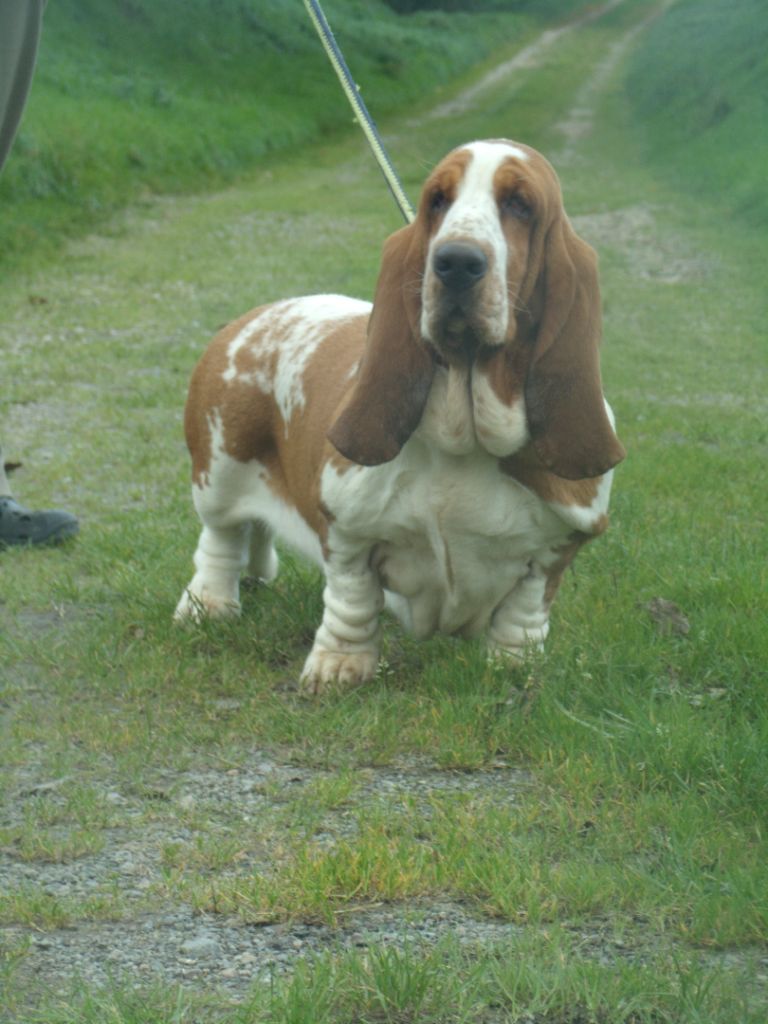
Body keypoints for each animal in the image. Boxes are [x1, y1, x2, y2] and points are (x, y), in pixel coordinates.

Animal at [177, 138, 626, 696]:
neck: (466, 439)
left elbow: (523, 617)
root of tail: (250, 317)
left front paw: (511, 670)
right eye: (437, 200)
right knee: (221, 538)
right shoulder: (348, 532)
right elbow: (352, 601)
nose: (456, 262)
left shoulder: (554, 549)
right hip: (218, 471)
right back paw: (208, 605)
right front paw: (338, 667)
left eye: (520, 204)